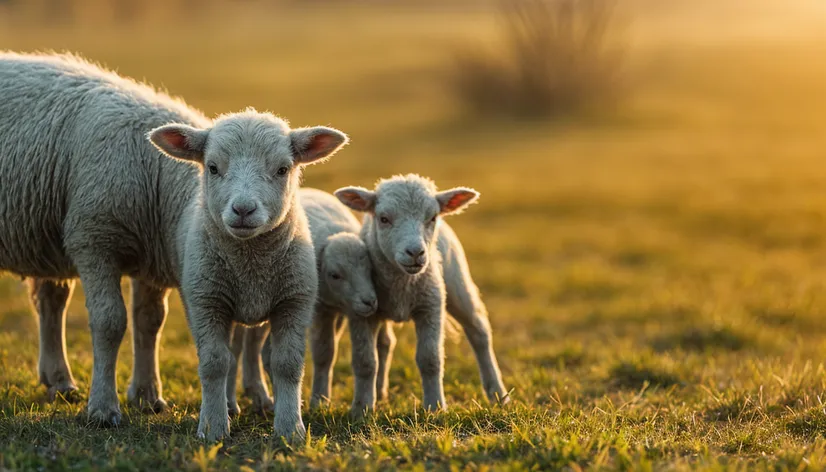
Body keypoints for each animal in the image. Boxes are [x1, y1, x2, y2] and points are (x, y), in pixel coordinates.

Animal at [0, 52, 346, 442]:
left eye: (283, 169)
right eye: (212, 167)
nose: (243, 210)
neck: (161, 182)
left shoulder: (155, 255)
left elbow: (149, 322)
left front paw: (147, 396)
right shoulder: (95, 239)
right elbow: (110, 322)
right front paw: (104, 408)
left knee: (50, 301)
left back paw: (58, 380)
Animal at [334, 175, 508, 414]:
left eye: (432, 218)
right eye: (384, 218)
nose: (415, 252)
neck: (403, 284)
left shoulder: (431, 306)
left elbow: (430, 359)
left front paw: (435, 407)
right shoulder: (362, 313)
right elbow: (365, 362)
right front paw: (362, 409)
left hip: (457, 282)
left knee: (479, 333)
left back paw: (497, 393)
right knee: (385, 343)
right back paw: (380, 392)